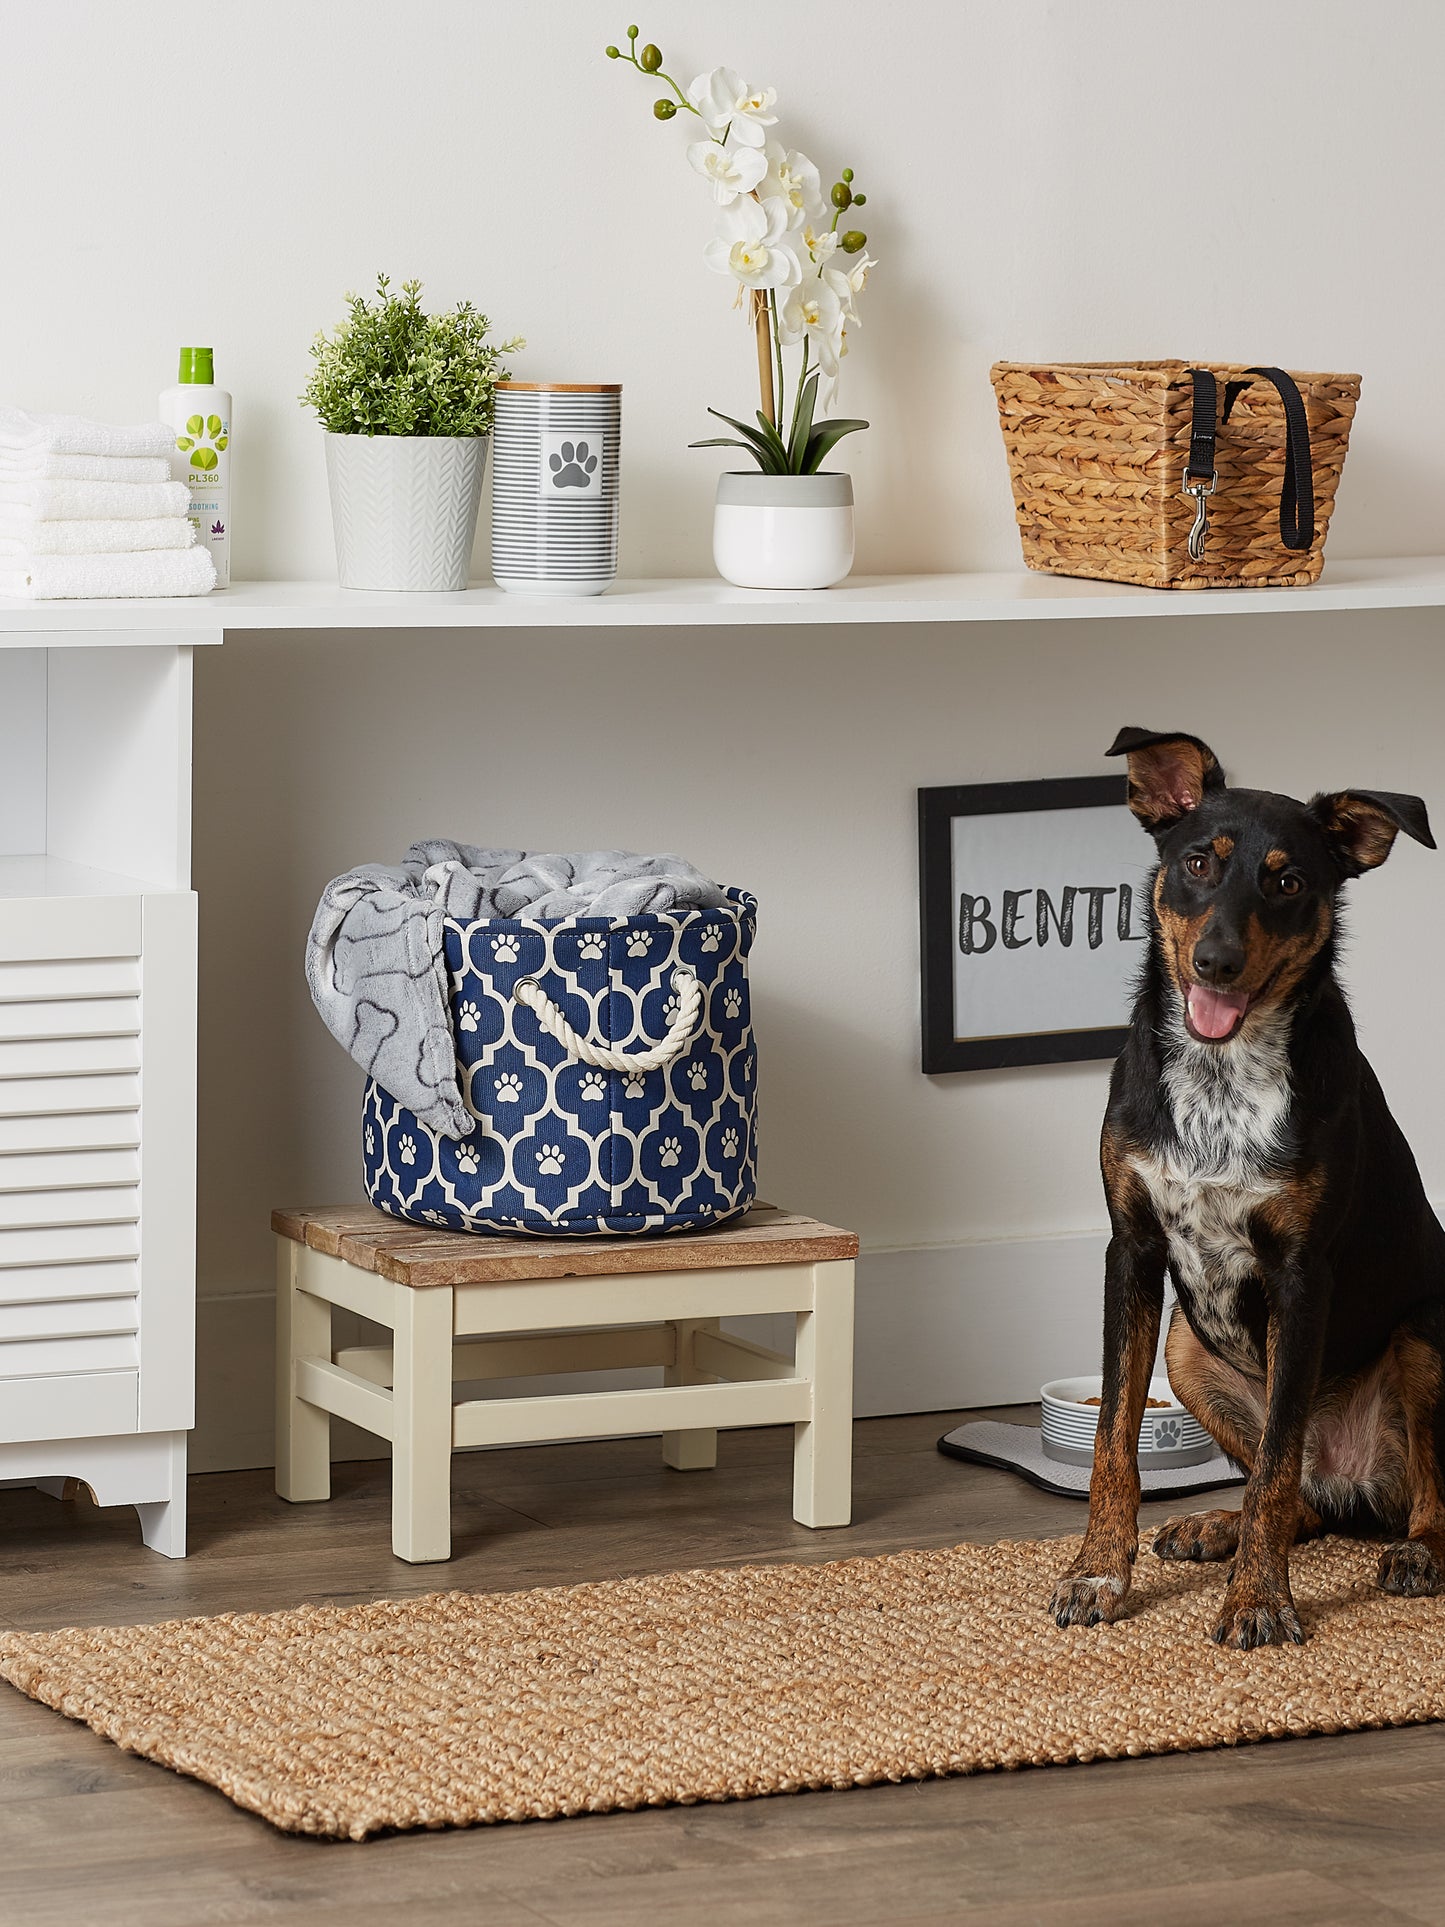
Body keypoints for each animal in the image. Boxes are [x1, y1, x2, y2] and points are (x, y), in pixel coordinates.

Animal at [1055, 728, 1445, 1649]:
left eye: (1287, 880)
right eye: (1198, 860)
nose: (1215, 960)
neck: (1220, 1077)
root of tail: (1358, 1485)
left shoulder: (1300, 1276)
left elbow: (1272, 1462)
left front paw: (1258, 1600)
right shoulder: (1131, 1248)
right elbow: (1113, 1439)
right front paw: (1098, 1571)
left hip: (1426, 1338)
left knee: (1414, 1498)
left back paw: (1414, 1553)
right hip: (1184, 1346)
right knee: (1307, 1501)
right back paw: (1213, 1526)